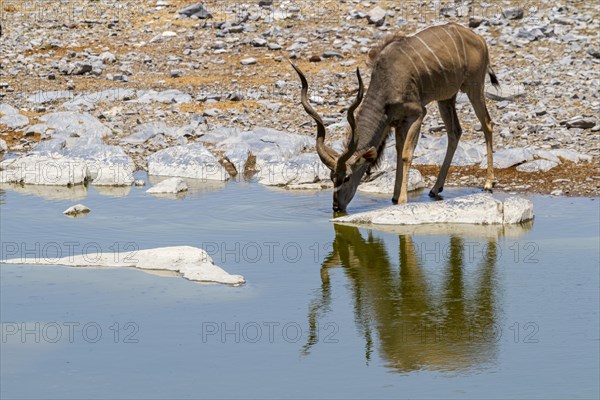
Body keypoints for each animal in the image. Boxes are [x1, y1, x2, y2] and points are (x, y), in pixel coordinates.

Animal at [292, 23, 500, 212]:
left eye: (347, 177)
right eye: (331, 178)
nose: (336, 207)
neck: (387, 81)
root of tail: (479, 39)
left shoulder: (417, 114)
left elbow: (407, 154)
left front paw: (402, 200)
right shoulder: (397, 122)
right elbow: (399, 152)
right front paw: (393, 197)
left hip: (474, 87)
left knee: (487, 124)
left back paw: (488, 183)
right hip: (446, 98)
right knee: (455, 132)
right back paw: (435, 188)